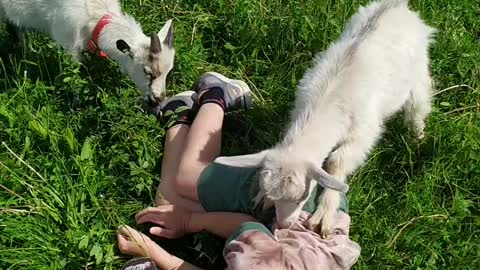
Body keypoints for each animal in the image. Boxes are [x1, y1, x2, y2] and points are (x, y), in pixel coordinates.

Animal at [214, 0, 436, 236]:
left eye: (301, 198)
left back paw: (416, 136)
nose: (283, 224)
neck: (328, 99)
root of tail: (398, 7)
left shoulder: (363, 134)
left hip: (419, 72)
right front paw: (263, 199)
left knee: (418, 102)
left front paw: (325, 214)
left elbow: (336, 161)